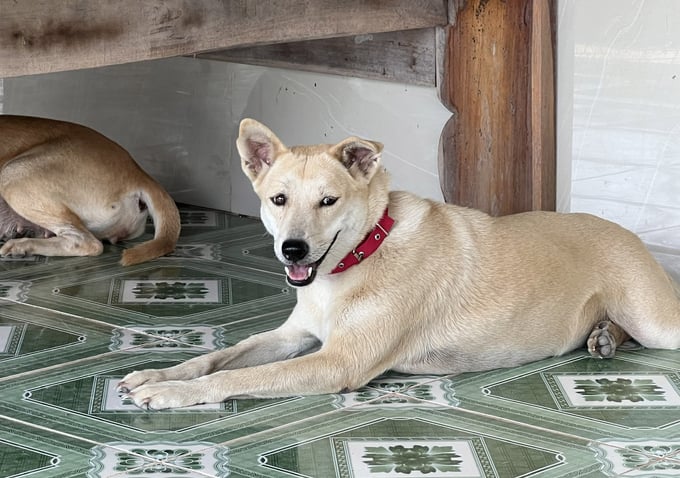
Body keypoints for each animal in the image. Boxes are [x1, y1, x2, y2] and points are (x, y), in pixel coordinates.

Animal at [119, 117, 680, 408]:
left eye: (328, 201)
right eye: (278, 199)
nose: (292, 250)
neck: (359, 258)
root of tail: (629, 233)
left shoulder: (336, 362)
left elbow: (237, 378)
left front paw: (172, 394)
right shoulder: (292, 335)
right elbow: (219, 357)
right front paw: (158, 374)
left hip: (656, 323)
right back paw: (603, 336)